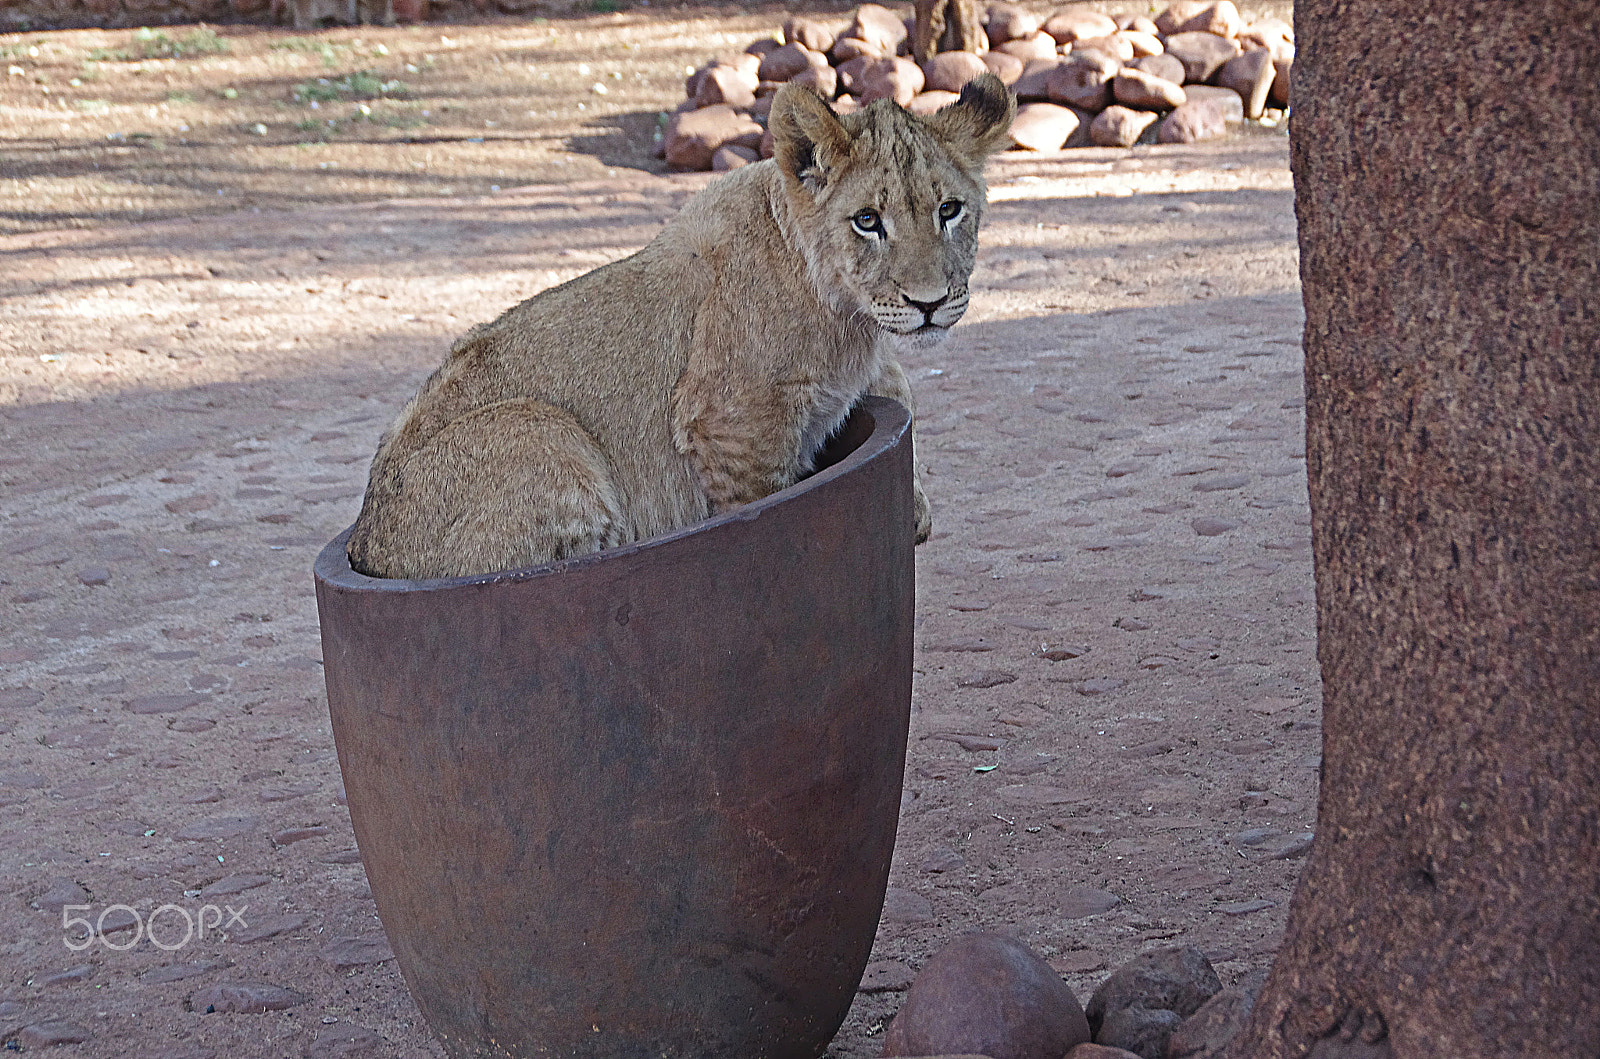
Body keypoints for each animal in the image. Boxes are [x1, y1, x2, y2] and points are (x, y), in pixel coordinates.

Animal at [346, 74, 1015, 581]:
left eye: (949, 210)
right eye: (868, 221)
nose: (929, 304)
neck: (841, 312)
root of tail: (363, 545)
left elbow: (897, 385)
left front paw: (917, 504)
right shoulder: (729, 424)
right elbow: (767, 506)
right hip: (538, 428)